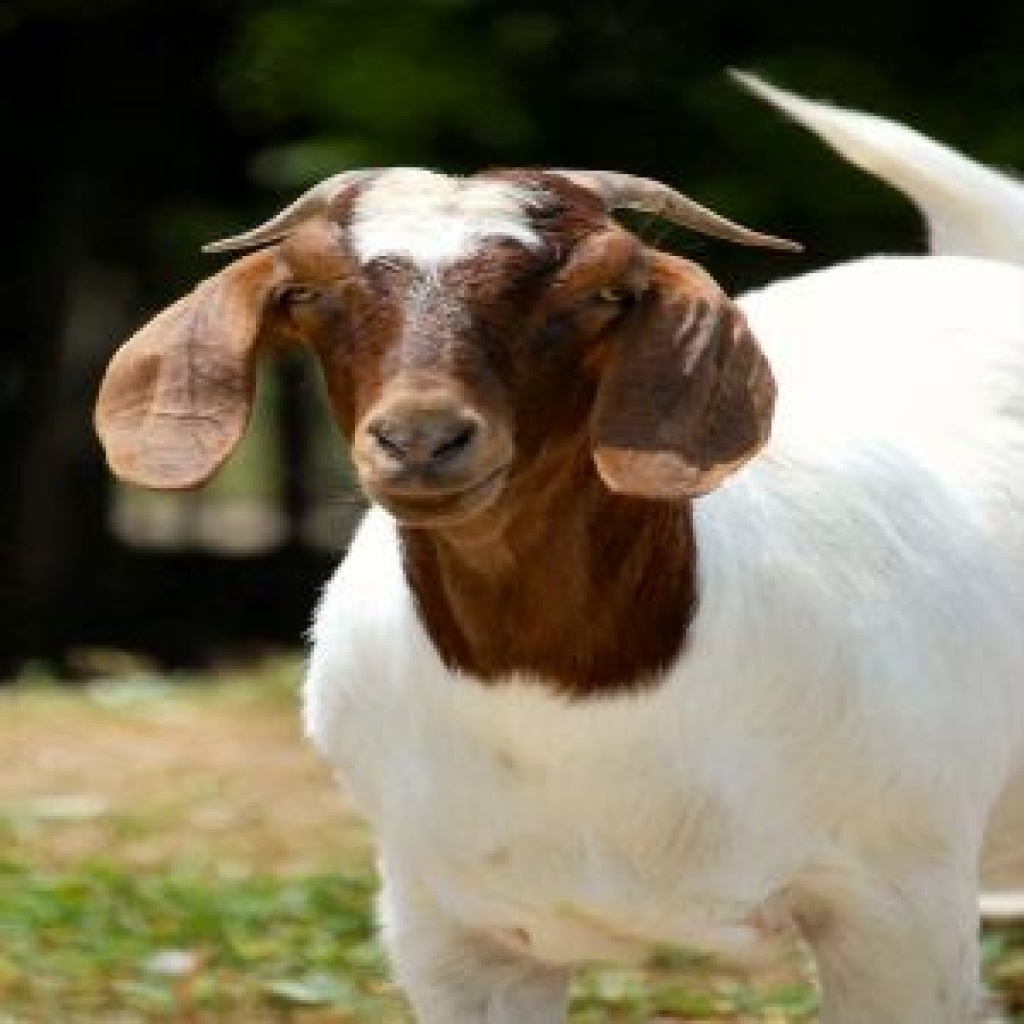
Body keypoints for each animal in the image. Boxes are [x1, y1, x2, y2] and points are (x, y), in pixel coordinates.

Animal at [95, 79, 1024, 1022]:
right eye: (308, 289)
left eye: (606, 290)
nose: (421, 438)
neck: (571, 705)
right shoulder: (449, 932)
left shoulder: (897, 912)